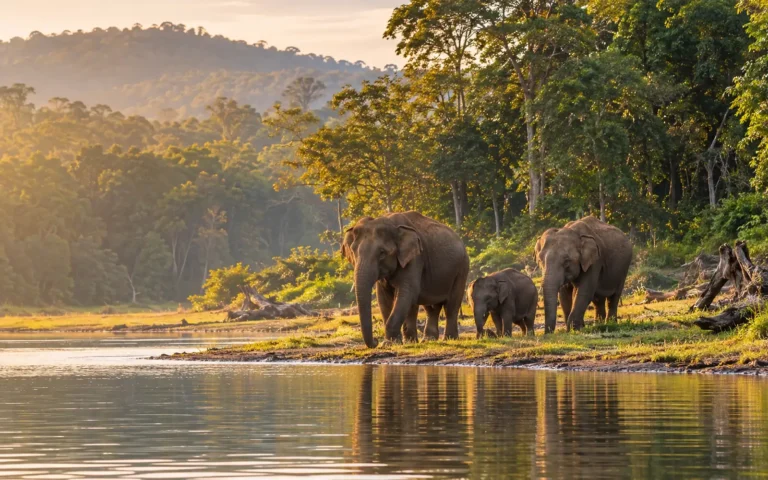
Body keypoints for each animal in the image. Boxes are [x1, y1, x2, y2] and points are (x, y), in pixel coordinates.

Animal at [342, 211, 470, 348]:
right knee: (431, 307)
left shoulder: (415, 259)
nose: (376, 341)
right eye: (353, 251)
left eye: (382, 253)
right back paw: (427, 340)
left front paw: (389, 344)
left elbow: (406, 292)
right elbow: (384, 298)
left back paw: (450, 339)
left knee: (451, 305)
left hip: (462, 269)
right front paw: (393, 343)